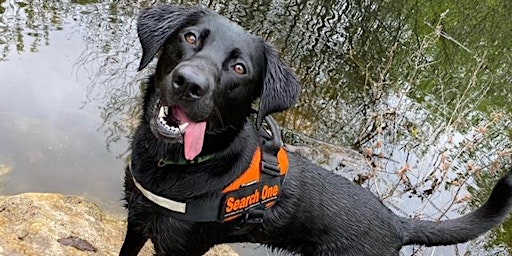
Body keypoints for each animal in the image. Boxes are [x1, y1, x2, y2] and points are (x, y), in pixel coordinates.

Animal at [121, 4, 512, 256]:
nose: (190, 83)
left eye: (239, 68)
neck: (170, 165)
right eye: (189, 37)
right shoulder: (137, 222)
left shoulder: (180, 248)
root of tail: (396, 223)